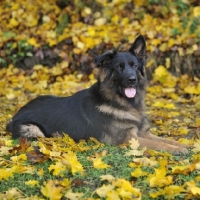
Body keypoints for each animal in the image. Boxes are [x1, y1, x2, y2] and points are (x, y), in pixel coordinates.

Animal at [6, 34, 191, 155]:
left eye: (134, 66)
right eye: (119, 67)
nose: (132, 80)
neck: (121, 103)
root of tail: (15, 115)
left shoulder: (144, 133)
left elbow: (165, 140)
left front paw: (185, 145)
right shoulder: (130, 139)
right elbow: (158, 144)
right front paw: (178, 149)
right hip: (34, 130)